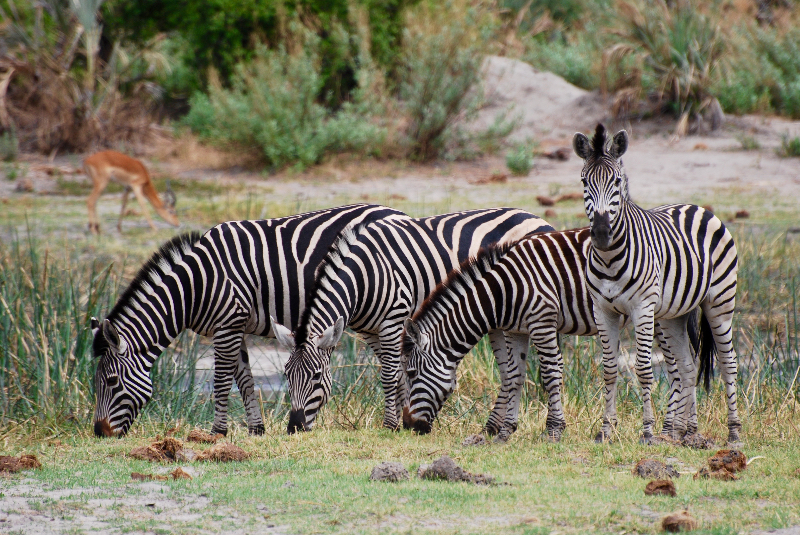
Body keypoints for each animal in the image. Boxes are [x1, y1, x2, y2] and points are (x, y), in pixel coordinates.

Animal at [90, 203, 410, 438]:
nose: (99, 432)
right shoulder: (233, 327)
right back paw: (405, 418)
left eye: (111, 381)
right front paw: (257, 429)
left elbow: (221, 381)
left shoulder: (227, 325)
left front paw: (217, 433)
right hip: (369, 318)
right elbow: (244, 380)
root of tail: (399, 213)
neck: (196, 286)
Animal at [272, 207, 552, 434]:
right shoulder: (371, 331)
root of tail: (537, 218)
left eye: (317, 376)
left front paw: (390, 425)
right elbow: (397, 374)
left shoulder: (393, 321)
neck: (365, 275)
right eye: (286, 375)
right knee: (508, 371)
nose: (294, 428)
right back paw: (492, 428)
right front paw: (401, 421)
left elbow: (389, 375)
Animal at [404, 228, 704, 442]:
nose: (409, 426)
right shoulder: (516, 330)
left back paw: (668, 431)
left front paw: (554, 429)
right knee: (686, 366)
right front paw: (507, 430)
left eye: (410, 373)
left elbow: (550, 373)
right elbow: (515, 376)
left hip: (656, 314)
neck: (504, 292)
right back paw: (684, 430)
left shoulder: (542, 322)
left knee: (676, 371)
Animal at [572, 124, 740, 444]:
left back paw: (734, 433)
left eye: (616, 182)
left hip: (720, 303)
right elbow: (609, 368)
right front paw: (605, 430)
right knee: (687, 366)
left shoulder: (642, 308)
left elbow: (643, 369)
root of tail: (695, 206)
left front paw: (647, 431)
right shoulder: (603, 310)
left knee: (728, 363)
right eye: (585, 181)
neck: (609, 258)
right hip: (673, 315)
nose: (601, 233)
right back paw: (687, 433)